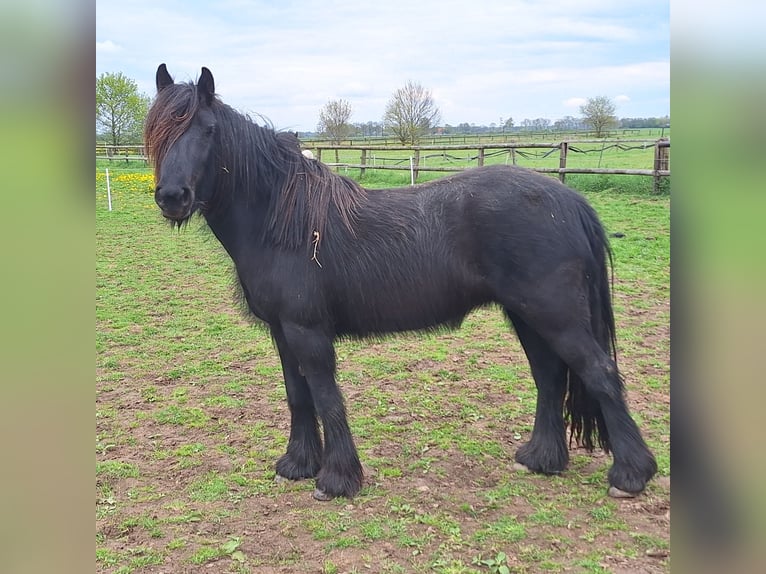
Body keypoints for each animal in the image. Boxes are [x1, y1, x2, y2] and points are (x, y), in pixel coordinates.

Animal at [144, 64, 657, 501]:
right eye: (157, 133)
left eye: (208, 131)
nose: (173, 197)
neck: (281, 219)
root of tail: (570, 200)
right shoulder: (282, 332)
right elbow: (298, 396)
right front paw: (297, 464)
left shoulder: (308, 332)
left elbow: (327, 398)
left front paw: (337, 479)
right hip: (528, 316)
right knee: (550, 377)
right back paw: (541, 458)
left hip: (557, 317)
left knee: (600, 373)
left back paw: (630, 475)